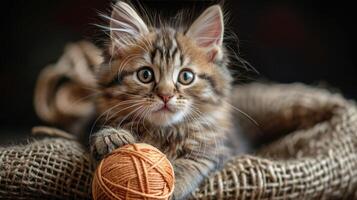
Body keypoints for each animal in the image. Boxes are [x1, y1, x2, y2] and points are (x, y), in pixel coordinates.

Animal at [89, 1, 235, 200]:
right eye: (145, 75)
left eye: (186, 76)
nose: (165, 95)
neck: (163, 132)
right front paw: (112, 136)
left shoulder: (218, 150)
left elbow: (194, 163)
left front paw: (173, 184)